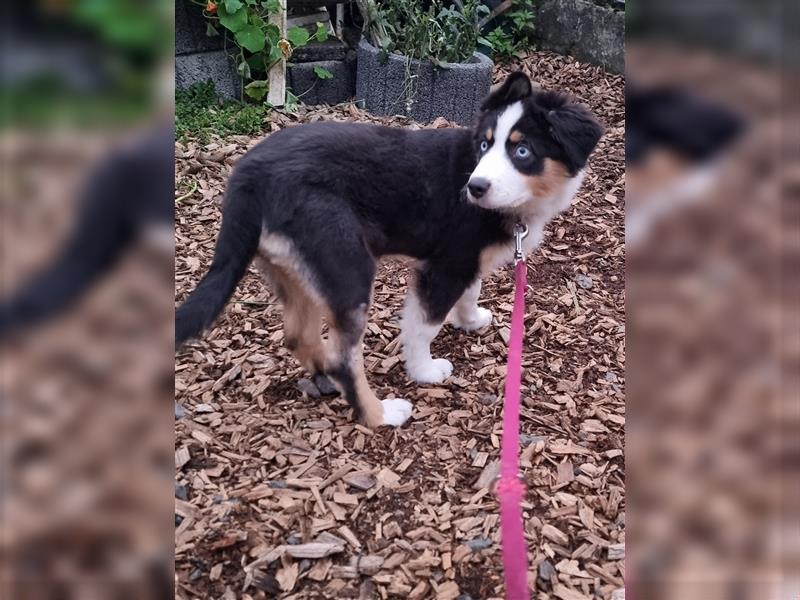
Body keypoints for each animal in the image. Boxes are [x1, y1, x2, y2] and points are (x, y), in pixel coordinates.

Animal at [175, 72, 600, 428]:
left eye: (522, 151)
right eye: (484, 145)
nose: (474, 188)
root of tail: (248, 175)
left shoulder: (464, 262)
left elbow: (471, 290)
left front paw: (470, 319)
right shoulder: (444, 266)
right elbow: (424, 325)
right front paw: (424, 371)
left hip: (297, 268)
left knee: (299, 335)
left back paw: (325, 376)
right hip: (348, 265)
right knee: (345, 357)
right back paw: (380, 414)